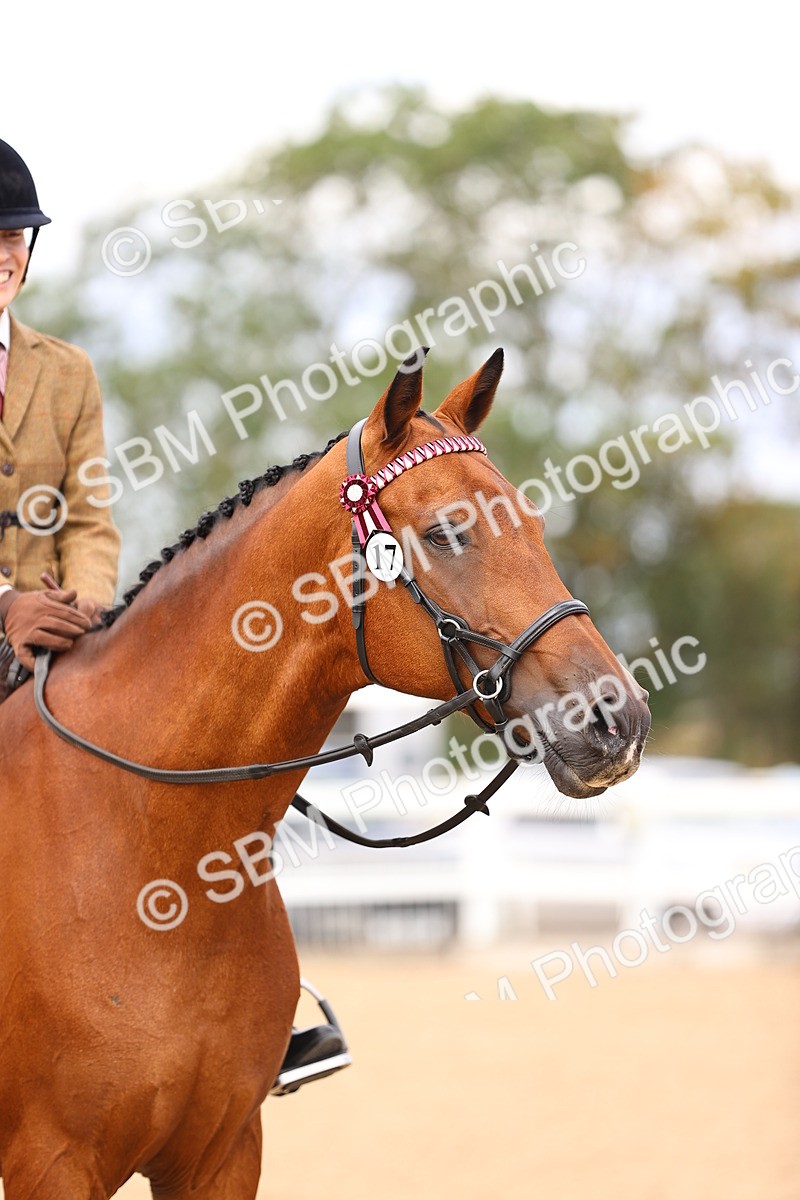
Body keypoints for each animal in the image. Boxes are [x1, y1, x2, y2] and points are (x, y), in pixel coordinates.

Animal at [0, 349, 650, 1197]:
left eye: (534, 526)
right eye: (446, 533)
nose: (618, 721)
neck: (159, 864)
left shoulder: (222, 1153)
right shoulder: (52, 1164)